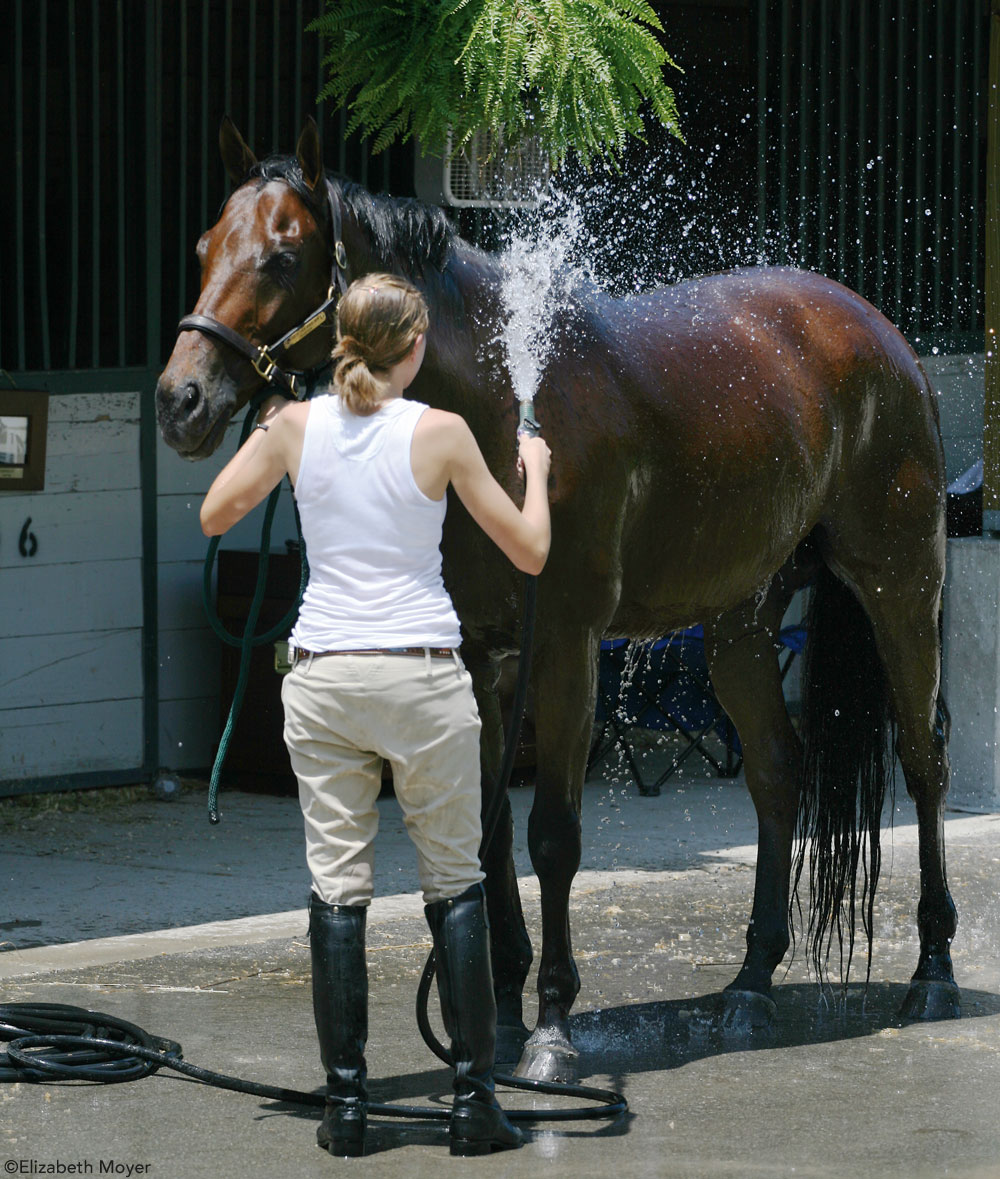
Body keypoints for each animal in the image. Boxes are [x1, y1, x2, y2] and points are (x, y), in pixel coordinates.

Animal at [155, 122, 962, 1084]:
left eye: (282, 257)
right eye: (205, 248)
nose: (179, 399)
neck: (498, 406)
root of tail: (880, 333)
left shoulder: (568, 644)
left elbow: (553, 835)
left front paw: (549, 1031)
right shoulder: (478, 656)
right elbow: (488, 830)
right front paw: (497, 1015)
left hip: (899, 587)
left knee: (922, 760)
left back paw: (934, 974)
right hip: (739, 621)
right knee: (775, 769)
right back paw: (750, 985)